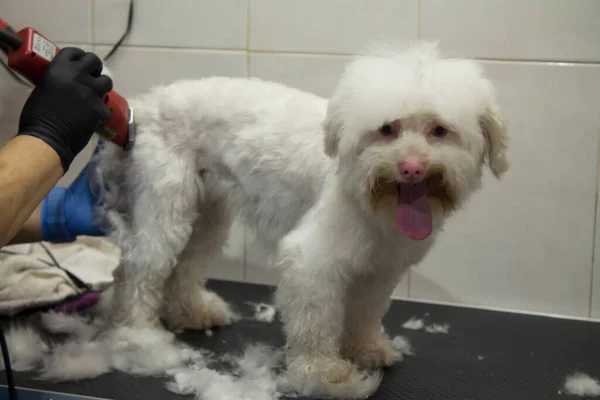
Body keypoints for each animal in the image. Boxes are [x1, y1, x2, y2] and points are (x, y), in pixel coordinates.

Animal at [91, 42, 508, 398]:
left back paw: (191, 312)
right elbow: (315, 322)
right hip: (166, 208)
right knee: (140, 272)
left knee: (185, 266)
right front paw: (323, 374)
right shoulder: (312, 262)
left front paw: (367, 349)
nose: (411, 167)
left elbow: (365, 313)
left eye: (439, 130)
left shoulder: (379, 269)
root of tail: (146, 105)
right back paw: (139, 337)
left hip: (206, 215)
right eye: (387, 129)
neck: (372, 201)